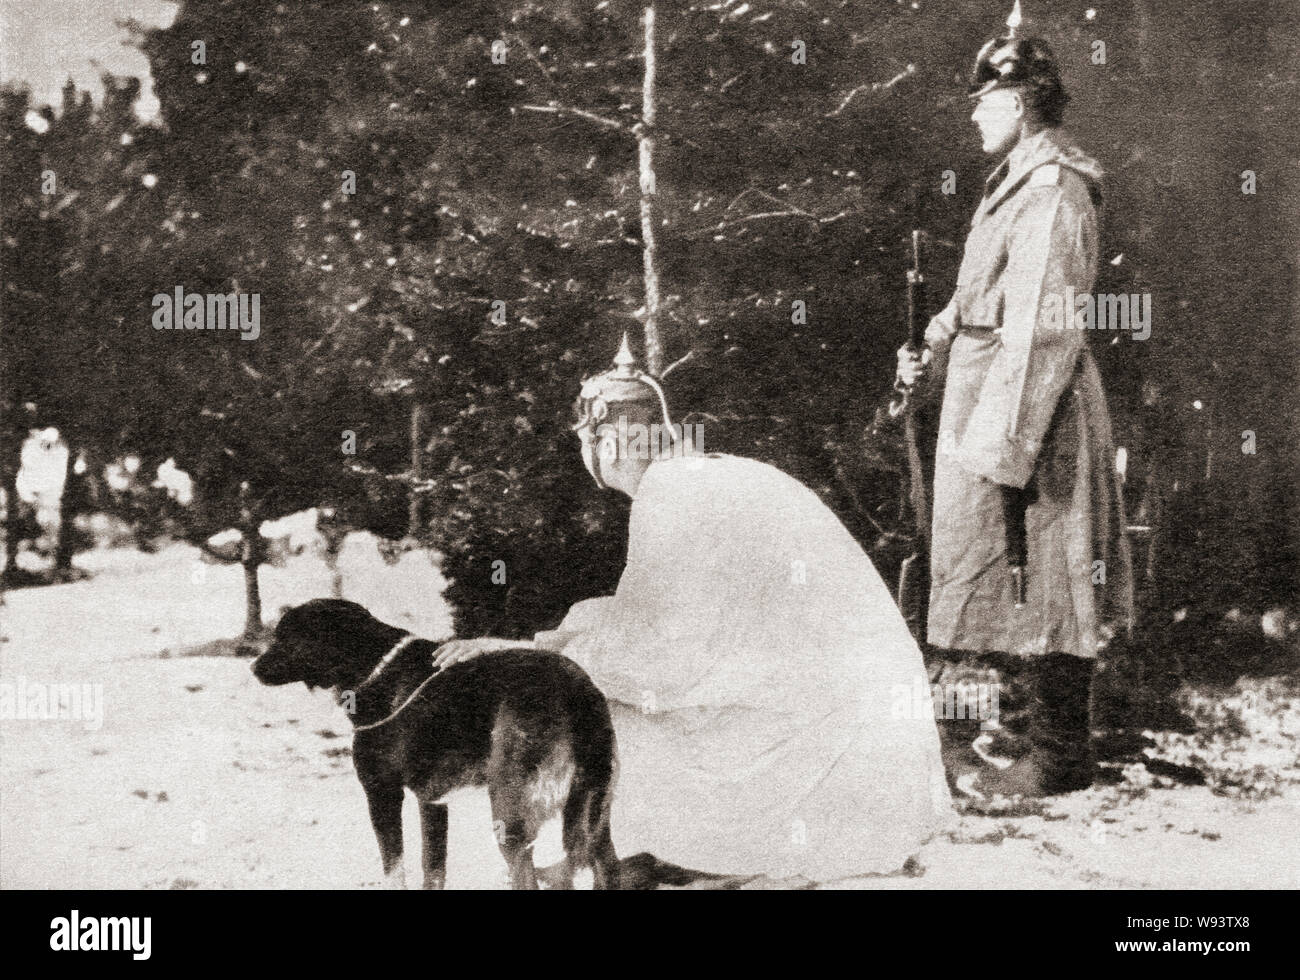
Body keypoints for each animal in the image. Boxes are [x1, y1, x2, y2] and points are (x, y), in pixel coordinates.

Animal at [256, 595, 621, 883]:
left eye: (287, 638)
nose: (253, 667)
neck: (376, 667)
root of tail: (577, 692)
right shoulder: (432, 800)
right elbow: (432, 869)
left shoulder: (382, 792)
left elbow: (395, 869)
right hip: (593, 815)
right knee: (607, 867)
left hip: (512, 816)